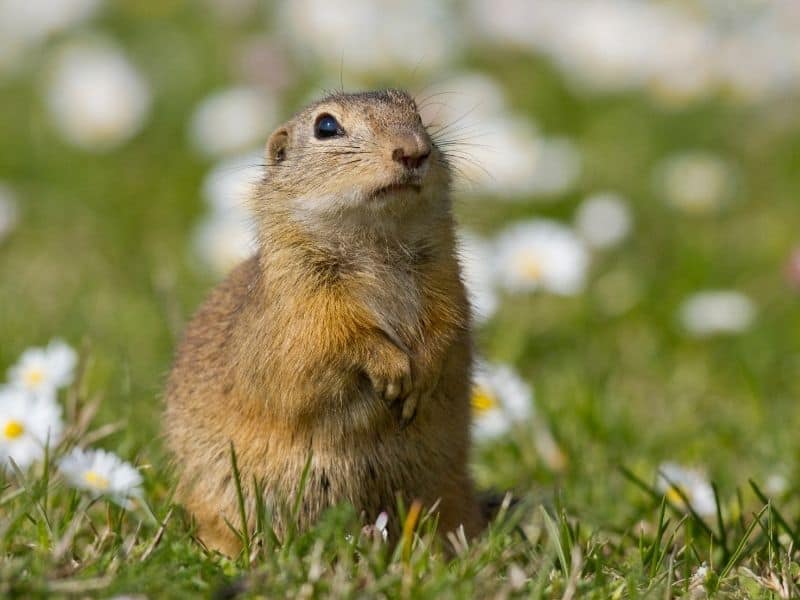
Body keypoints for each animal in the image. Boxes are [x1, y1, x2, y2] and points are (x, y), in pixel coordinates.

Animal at [164, 90, 482, 556]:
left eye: (418, 114)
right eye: (326, 127)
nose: (413, 150)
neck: (375, 243)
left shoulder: (447, 283)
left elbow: (447, 326)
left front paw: (421, 377)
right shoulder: (305, 306)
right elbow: (338, 339)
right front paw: (392, 370)